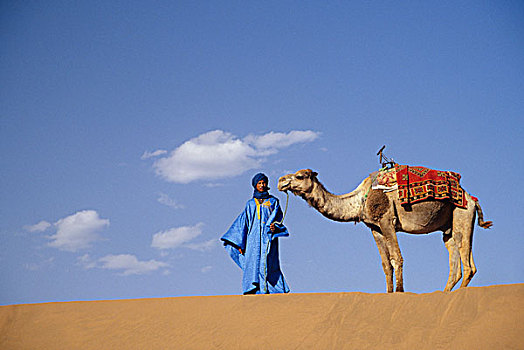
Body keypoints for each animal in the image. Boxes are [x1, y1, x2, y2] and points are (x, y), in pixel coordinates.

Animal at [278, 170, 492, 292]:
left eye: (299, 176)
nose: (280, 181)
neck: (359, 200)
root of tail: (472, 198)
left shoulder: (387, 221)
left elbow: (397, 258)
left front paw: (399, 292)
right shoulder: (374, 227)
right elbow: (385, 264)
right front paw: (389, 293)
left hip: (462, 213)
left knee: (467, 260)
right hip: (450, 226)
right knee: (455, 254)